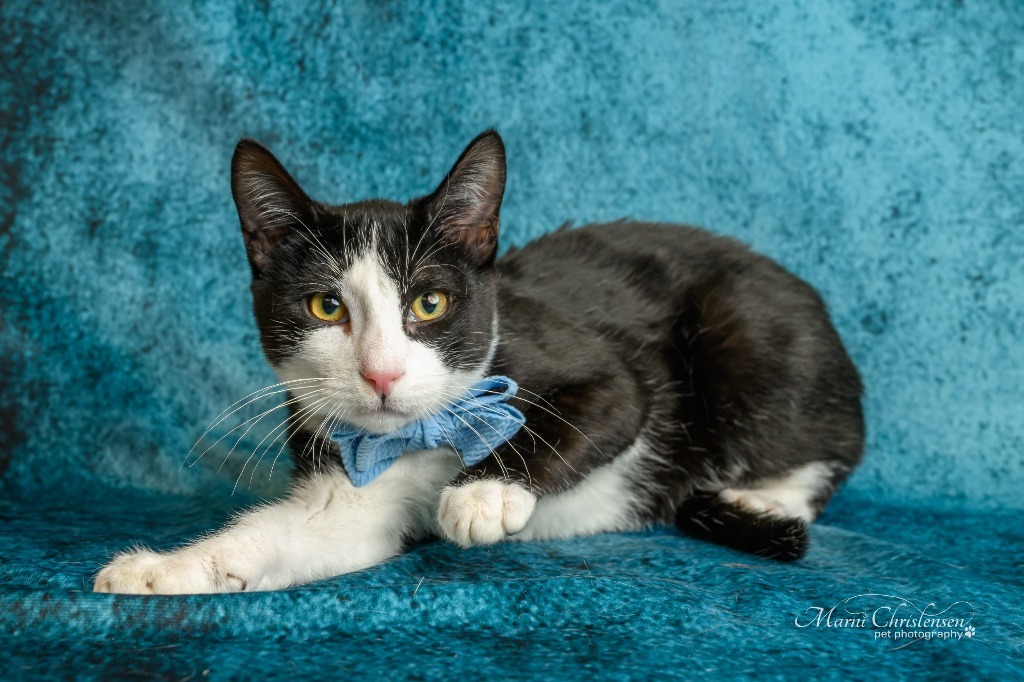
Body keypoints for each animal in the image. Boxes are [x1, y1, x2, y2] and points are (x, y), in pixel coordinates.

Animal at [94, 130, 864, 593]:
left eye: (429, 303)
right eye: (326, 307)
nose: (381, 373)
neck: (421, 435)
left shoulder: (594, 365)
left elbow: (607, 404)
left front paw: (483, 492)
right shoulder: (351, 476)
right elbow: (312, 531)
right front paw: (162, 571)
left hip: (752, 336)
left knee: (821, 450)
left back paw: (758, 500)